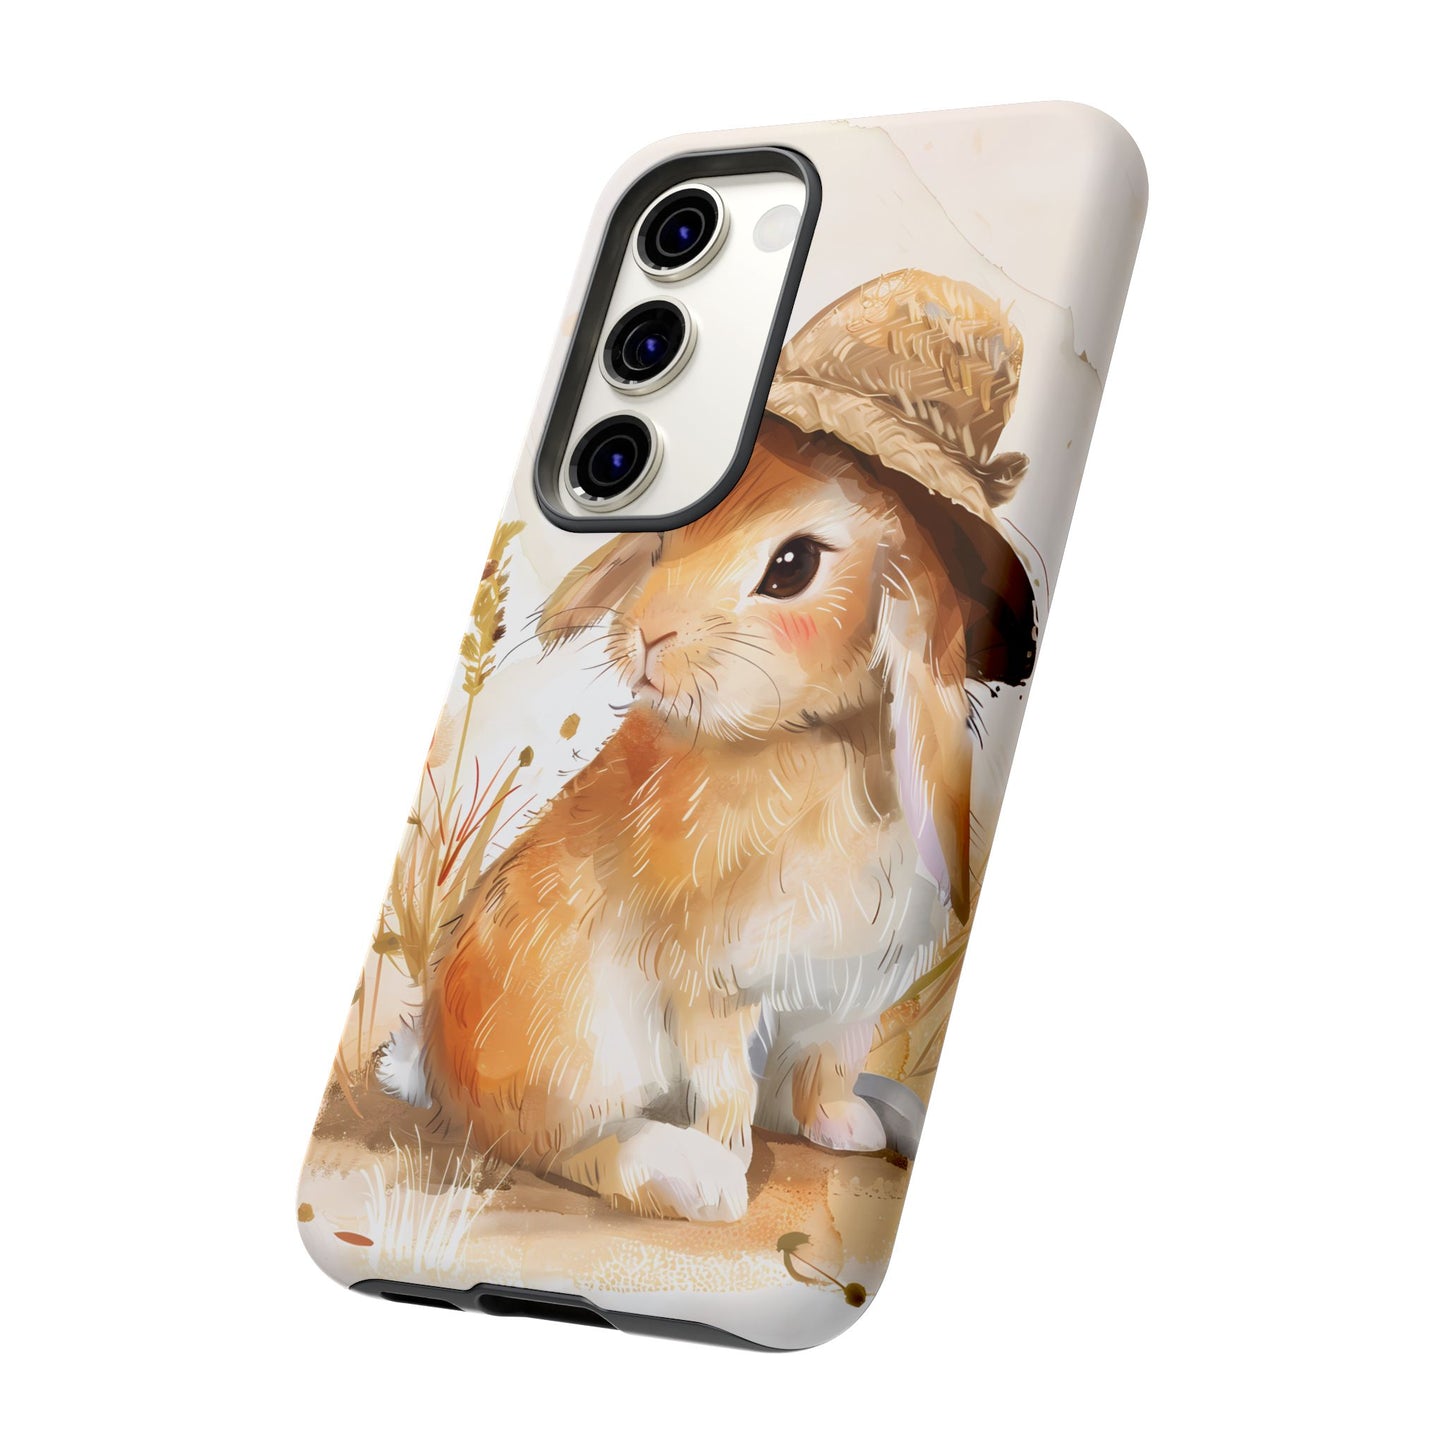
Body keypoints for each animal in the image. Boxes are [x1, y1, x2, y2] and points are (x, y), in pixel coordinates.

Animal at [413, 414, 1035, 1222]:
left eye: (793, 566)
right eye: (664, 539)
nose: (648, 634)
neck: (812, 738)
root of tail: (436, 1073)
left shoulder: (844, 996)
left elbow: (827, 1069)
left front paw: (843, 1128)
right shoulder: (709, 981)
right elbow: (725, 1085)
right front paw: (731, 1162)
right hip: (576, 1041)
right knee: (555, 1144)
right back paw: (691, 1176)